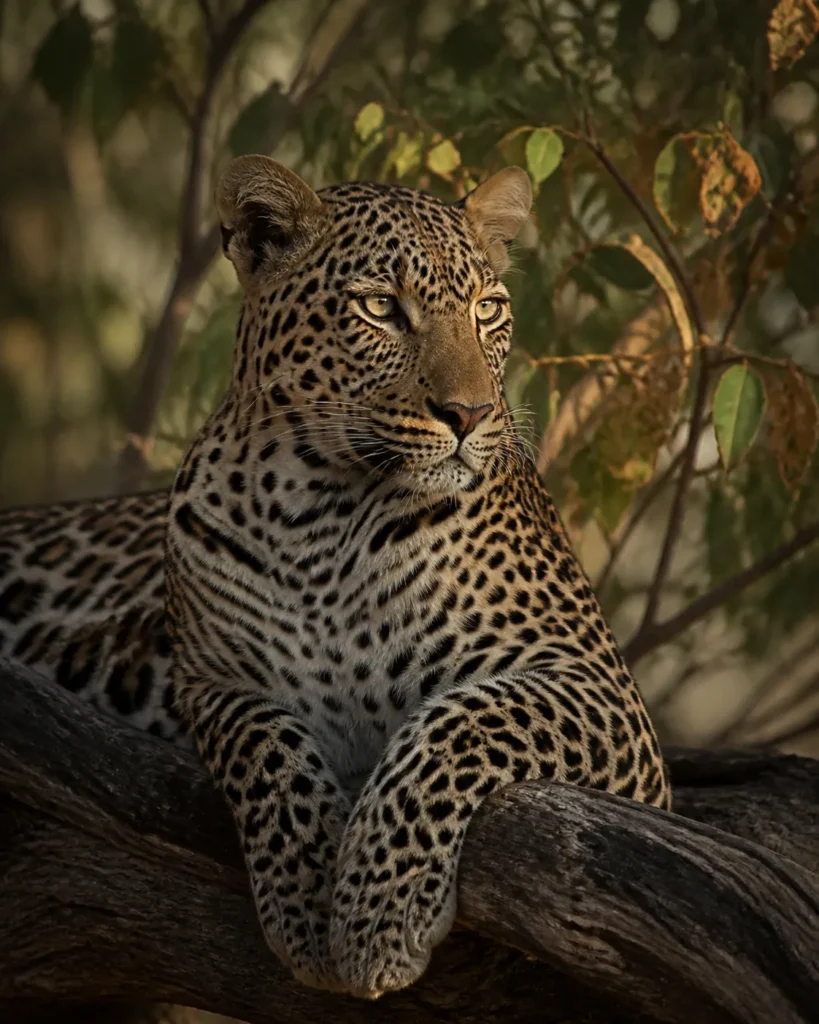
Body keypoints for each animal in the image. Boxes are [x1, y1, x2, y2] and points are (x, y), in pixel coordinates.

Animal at [0, 155, 671, 1000]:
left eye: (487, 310)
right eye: (381, 308)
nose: (470, 414)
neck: (314, 508)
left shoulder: (597, 688)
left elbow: (456, 724)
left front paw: (378, 913)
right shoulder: (213, 682)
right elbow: (266, 752)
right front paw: (308, 895)